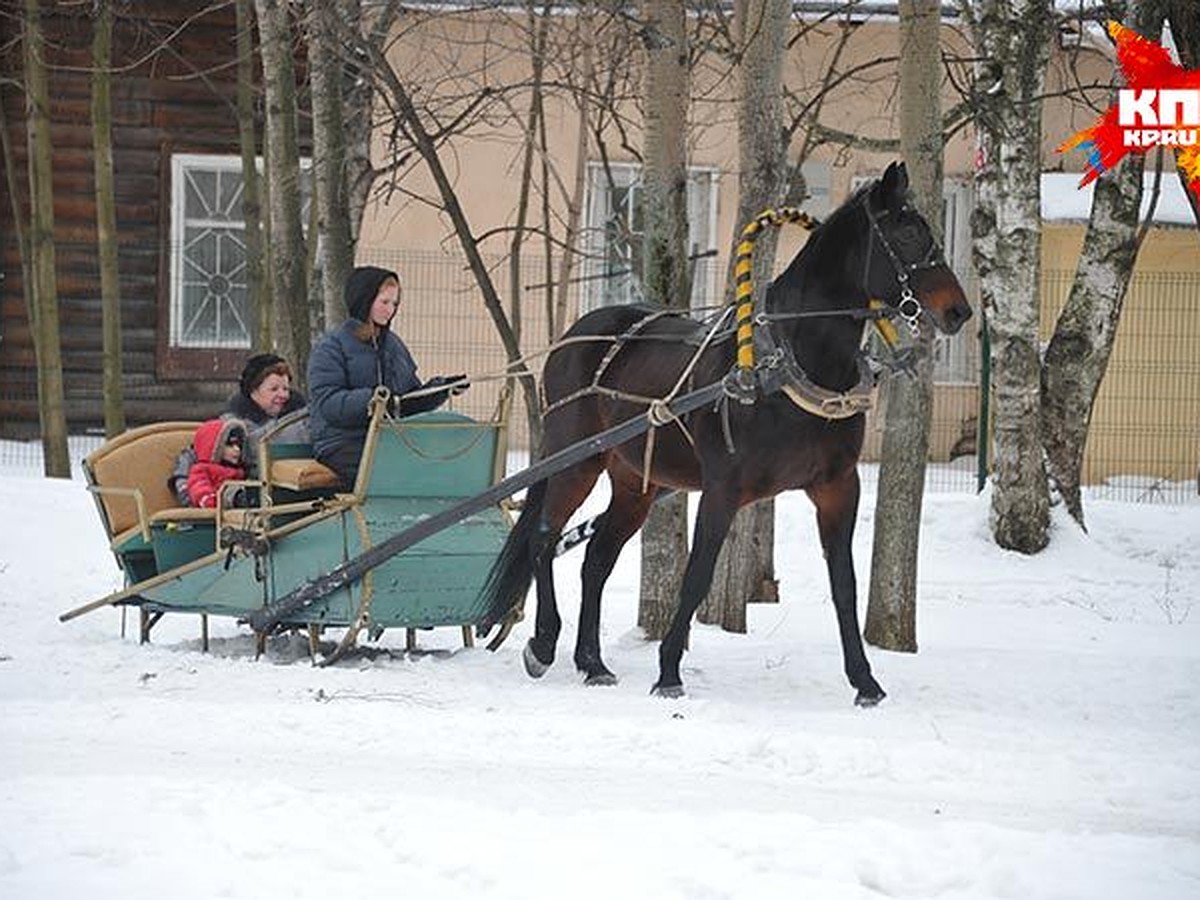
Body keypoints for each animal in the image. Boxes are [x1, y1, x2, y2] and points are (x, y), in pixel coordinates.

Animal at [477, 165, 964, 710]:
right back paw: (543, 642)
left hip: (635, 482)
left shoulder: (838, 487)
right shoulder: (723, 489)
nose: (959, 311)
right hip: (575, 460)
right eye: (907, 233)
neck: (789, 363)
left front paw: (865, 680)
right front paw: (668, 670)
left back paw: (592, 661)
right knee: (543, 538)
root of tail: (576, 335)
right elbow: (696, 577)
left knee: (596, 560)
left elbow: (845, 585)